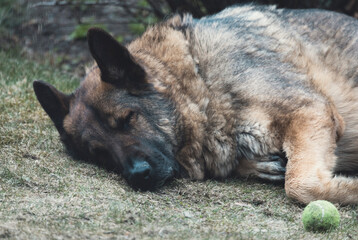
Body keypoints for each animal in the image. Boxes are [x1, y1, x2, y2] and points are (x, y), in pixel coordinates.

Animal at [32, 4, 358, 204]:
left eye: (127, 118)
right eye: (97, 152)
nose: (137, 175)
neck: (203, 81)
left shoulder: (311, 112)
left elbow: (300, 185)